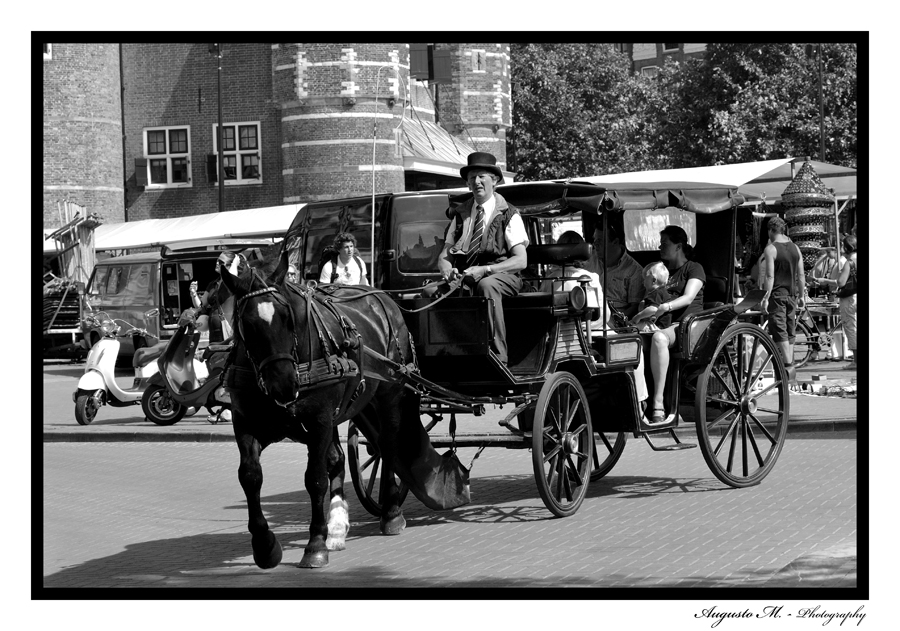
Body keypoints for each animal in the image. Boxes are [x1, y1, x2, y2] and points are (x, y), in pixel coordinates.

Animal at [221, 254, 468, 572]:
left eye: (287, 318)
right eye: (247, 324)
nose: (284, 384)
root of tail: (383, 297)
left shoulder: (319, 421)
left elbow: (315, 479)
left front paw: (314, 545)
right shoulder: (247, 423)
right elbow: (250, 476)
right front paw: (265, 547)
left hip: (390, 395)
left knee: (388, 445)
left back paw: (390, 513)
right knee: (341, 458)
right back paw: (337, 527)